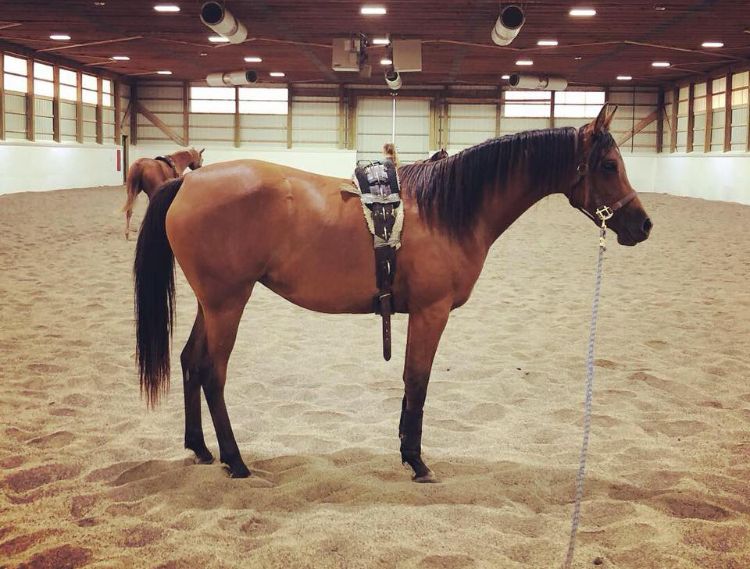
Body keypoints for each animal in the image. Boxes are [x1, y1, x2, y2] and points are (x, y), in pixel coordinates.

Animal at [133, 104, 652, 481]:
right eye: (609, 165)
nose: (643, 225)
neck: (449, 209)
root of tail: (188, 182)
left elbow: (410, 382)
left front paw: (406, 450)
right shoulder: (431, 312)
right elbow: (417, 381)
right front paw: (417, 461)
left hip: (213, 303)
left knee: (190, 362)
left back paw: (201, 449)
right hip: (227, 303)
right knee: (212, 373)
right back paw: (236, 461)